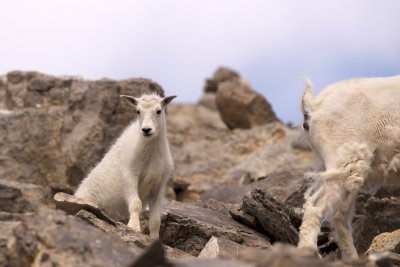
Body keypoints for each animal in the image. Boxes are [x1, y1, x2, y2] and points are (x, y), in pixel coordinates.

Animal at [75, 93, 175, 239]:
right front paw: (134, 227)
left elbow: (156, 218)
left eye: (158, 111)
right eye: (138, 111)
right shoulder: (130, 174)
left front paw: (154, 239)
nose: (146, 130)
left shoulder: (159, 184)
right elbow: (136, 204)